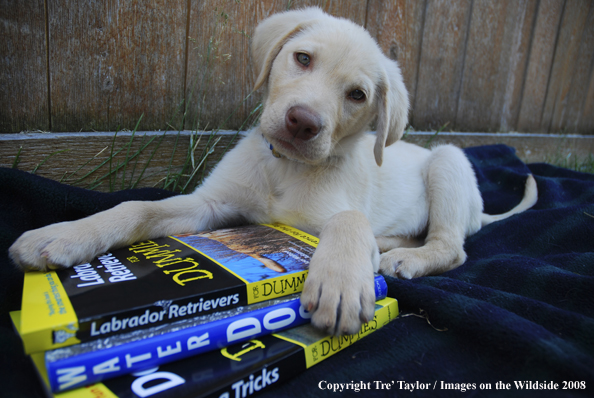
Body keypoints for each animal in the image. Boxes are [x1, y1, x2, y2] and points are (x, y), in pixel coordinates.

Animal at [9, 7, 536, 334]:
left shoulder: (334, 211)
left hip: (448, 161)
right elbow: (136, 207)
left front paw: (340, 283)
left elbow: (349, 220)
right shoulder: (210, 205)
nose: (303, 122)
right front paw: (65, 234)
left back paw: (405, 257)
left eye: (357, 95)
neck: (286, 169)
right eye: (302, 58)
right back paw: (389, 244)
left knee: (452, 246)